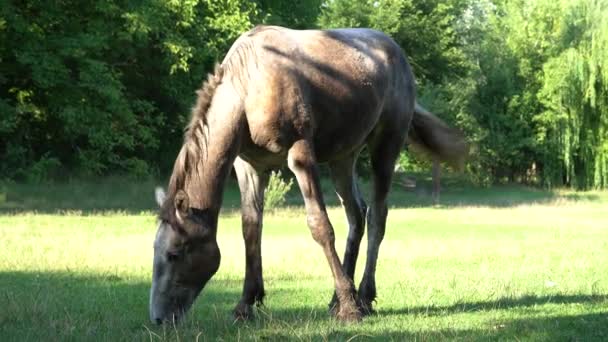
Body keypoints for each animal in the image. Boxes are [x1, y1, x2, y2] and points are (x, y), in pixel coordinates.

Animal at [150, 25, 468, 324]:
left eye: (174, 253)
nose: (158, 318)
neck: (249, 86)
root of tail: (397, 53)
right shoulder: (250, 168)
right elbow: (251, 229)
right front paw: (246, 304)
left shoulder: (301, 155)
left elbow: (320, 226)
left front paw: (350, 309)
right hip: (343, 158)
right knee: (357, 214)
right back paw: (338, 298)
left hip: (386, 144)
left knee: (378, 216)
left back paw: (363, 297)